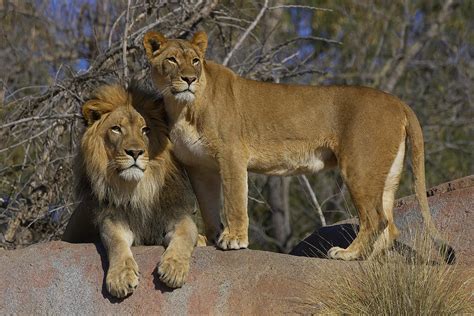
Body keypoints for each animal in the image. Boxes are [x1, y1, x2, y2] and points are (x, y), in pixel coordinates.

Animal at [61, 83, 200, 296]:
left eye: (146, 130)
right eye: (116, 129)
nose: (135, 152)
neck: (138, 189)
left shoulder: (177, 214)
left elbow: (187, 233)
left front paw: (173, 268)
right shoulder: (113, 219)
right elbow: (116, 243)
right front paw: (121, 277)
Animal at [143, 30, 454, 262]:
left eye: (196, 61)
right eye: (172, 60)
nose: (189, 79)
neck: (183, 107)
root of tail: (398, 101)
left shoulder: (231, 155)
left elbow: (234, 200)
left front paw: (233, 239)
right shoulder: (198, 166)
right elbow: (208, 206)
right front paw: (208, 238)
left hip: (359, 167)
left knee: (376, 219)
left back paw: (348, 254)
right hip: (386, 174)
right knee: (390, 225)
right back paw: (369, 260)